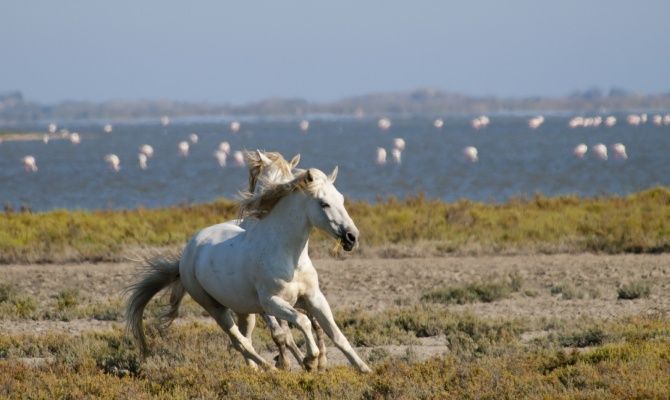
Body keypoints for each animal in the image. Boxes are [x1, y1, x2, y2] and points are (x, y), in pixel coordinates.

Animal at [126, 164, 372, 374]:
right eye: (323, 203)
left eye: (341, 199)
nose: (352, 237)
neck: (288, 256)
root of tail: (186, 255)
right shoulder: (272, 302)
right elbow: (301, 322)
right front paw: (310, 360)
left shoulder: (313, 298)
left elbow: (336, 334)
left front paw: (363, 369)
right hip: (215, 308)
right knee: (239, 341)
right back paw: (270, 369)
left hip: (245, 311)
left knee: (245, 340)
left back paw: (255, 371)